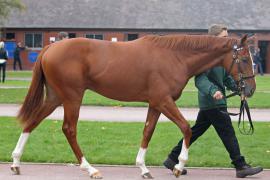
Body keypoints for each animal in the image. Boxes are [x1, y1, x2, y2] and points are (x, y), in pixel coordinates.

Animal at [10, 34, 255, 179]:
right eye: (244, 59)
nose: (250, 89)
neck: (174, 56)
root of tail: (50, 47)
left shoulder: (155, 104)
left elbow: (147, 131)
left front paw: (143, 168)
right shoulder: (164, 100)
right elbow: (186, 128)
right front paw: (178, 166)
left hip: (54, 98)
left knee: (32, 122)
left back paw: (15, 161)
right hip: (72, 97)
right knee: (69, 129)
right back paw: (90, 168)